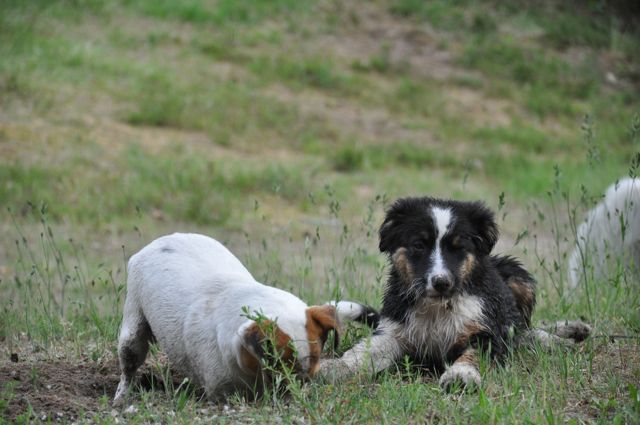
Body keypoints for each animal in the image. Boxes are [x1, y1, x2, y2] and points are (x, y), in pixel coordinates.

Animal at [113, 234, 378, 402]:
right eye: (281, 362)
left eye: (315, 358)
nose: (299, 383)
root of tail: (154, 244)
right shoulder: (221, 391)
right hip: (133, 330)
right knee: (129, 363)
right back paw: (121, 396)